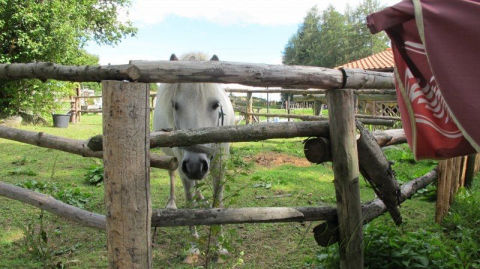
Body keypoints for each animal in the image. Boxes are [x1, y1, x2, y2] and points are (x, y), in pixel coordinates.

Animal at [153, 52, 235, 260]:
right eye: (175, 105)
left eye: (215, 104)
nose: (195, 165)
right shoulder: (184, 170)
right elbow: (189, 202)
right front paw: (193, 246)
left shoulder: (220, 165)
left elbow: (218, 201)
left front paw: (220, 245)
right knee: (171, 173)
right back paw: (172, 203)